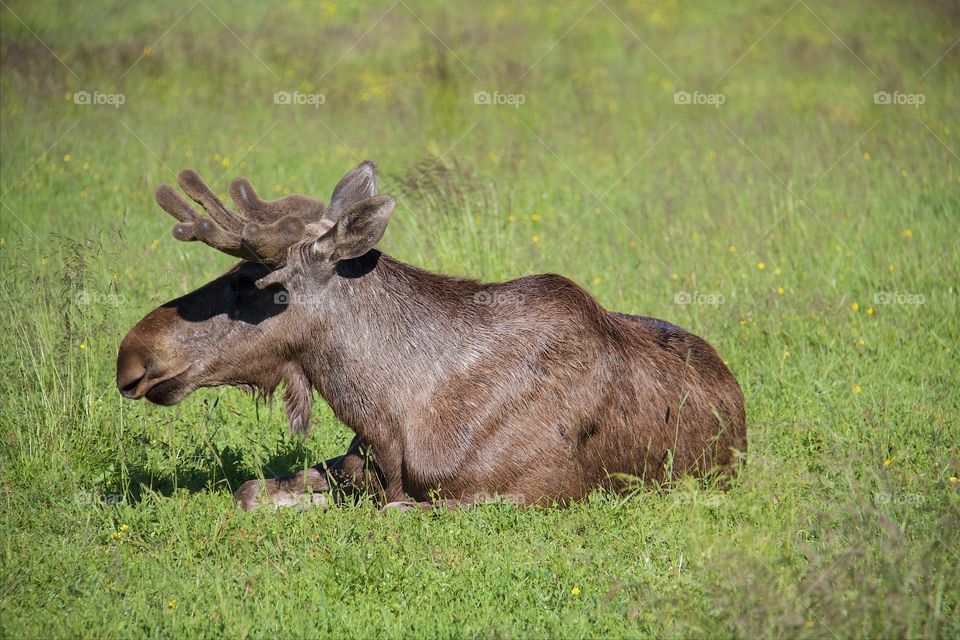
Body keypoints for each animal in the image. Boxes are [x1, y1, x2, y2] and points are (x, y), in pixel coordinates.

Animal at [118, 161, 752, 510]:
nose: (132, 356)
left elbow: (391, 511)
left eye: (255, 281)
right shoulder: (358, 461)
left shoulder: (524, 496)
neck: (387, 413)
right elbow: (250, 491)